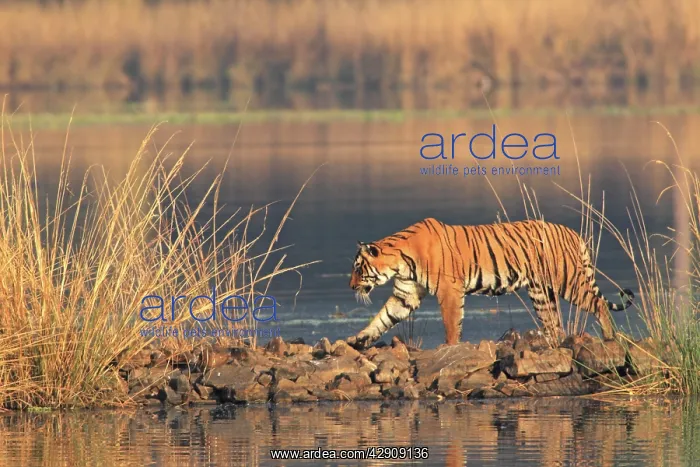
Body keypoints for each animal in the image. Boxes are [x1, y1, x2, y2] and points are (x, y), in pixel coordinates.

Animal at [346, 217, 634, 350]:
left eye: (358, 269)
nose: (350, 287)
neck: (400, 261)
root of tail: (573, 233)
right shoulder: (406, 294)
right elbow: (382, 319)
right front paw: (357, 340)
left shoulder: (450, 291)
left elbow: (451, 324)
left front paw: (450, 349)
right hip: (541, 293)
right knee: (555, 325)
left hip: (568, 281)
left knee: (597, 304)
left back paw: (609, 337)